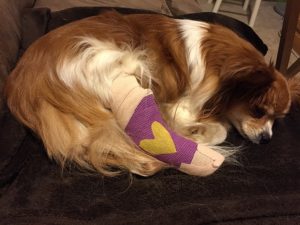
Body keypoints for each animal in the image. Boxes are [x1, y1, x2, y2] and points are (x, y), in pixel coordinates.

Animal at [4, 11, 298, 176]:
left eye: (277, 119)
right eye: (258, 111)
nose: (267, 140)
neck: (214, 60)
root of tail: (20, 88)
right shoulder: (182, 103)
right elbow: (220, 130)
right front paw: (198, 132)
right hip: (120, 60)